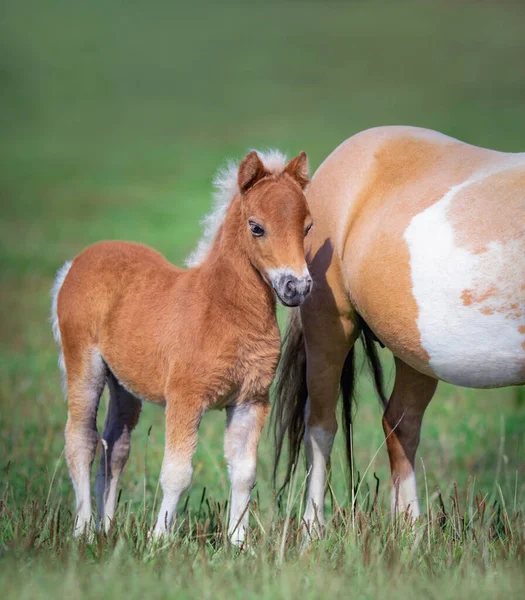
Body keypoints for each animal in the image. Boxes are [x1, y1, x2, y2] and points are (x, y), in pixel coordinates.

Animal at [50, 150, 312, 544]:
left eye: (308, 226)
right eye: (256, 227)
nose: (297, 288)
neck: (222, 309)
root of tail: (77, 262)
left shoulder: (250, 401)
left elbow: (244, 474)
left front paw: (239, 543)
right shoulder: (185, 397)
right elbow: (177, 472)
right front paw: (159, 540)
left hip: (124, 383)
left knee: (115, 446)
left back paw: (106, 529)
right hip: (84, 364)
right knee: (81, 440)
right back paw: (83, 532)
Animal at [274, 125, 524, 536]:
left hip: (416, 353)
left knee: (399, 425)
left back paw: (411, 530)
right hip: (329, 327)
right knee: (321, 427)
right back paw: (314, 528)